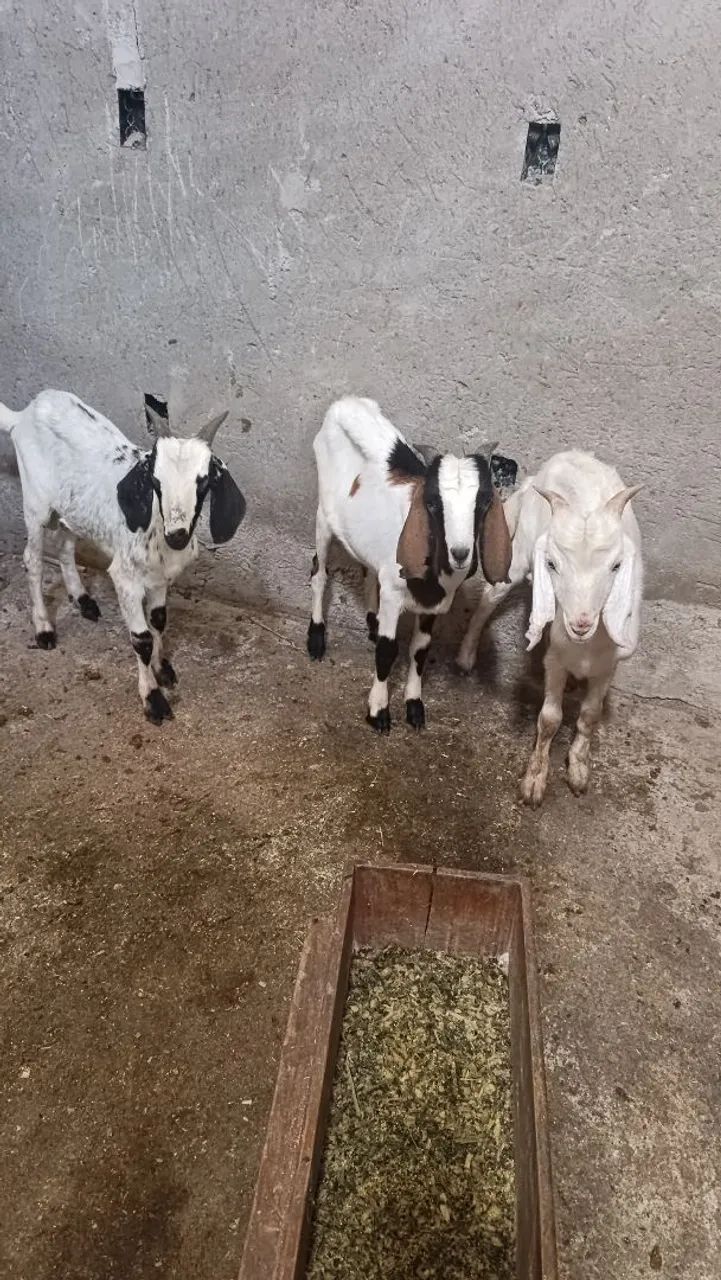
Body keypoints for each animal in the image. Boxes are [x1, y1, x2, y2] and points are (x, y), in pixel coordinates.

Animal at [0, 390, 246, 722]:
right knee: (33, 560)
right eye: (155, 481)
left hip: (73, 511)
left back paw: (83, 600)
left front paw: (162, 668)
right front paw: (153, 697)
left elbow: (159, 620)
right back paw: (44, 628)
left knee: (65, 546)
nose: (177, 535)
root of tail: (24, 414)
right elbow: (141, 637)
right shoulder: (126, 579)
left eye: (204, 481)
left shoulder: (160, 578)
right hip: (36, 506)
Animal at [307, 396, 513, 731]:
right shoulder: (394, 597)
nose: (460, 553)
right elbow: (388, 649)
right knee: (319, 572)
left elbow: (419, 651)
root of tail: (345, 403)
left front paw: (415, 706)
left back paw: (372, 621)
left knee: (369, 572)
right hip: (323, 517)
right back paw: (315, 638)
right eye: (432, 503)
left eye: (484, 502)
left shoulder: (432, 606)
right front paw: (378, 711)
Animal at [456, 450, 643, 804]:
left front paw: (579, 769)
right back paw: (466, 655)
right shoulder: (556, 659)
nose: (580, 623)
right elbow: (550, 718)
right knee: (490, 597)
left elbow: (590, 715)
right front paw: (534, 780)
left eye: (616, 565)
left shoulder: (608, 665)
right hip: (517, 555)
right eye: (552, 564)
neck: (584, 648)